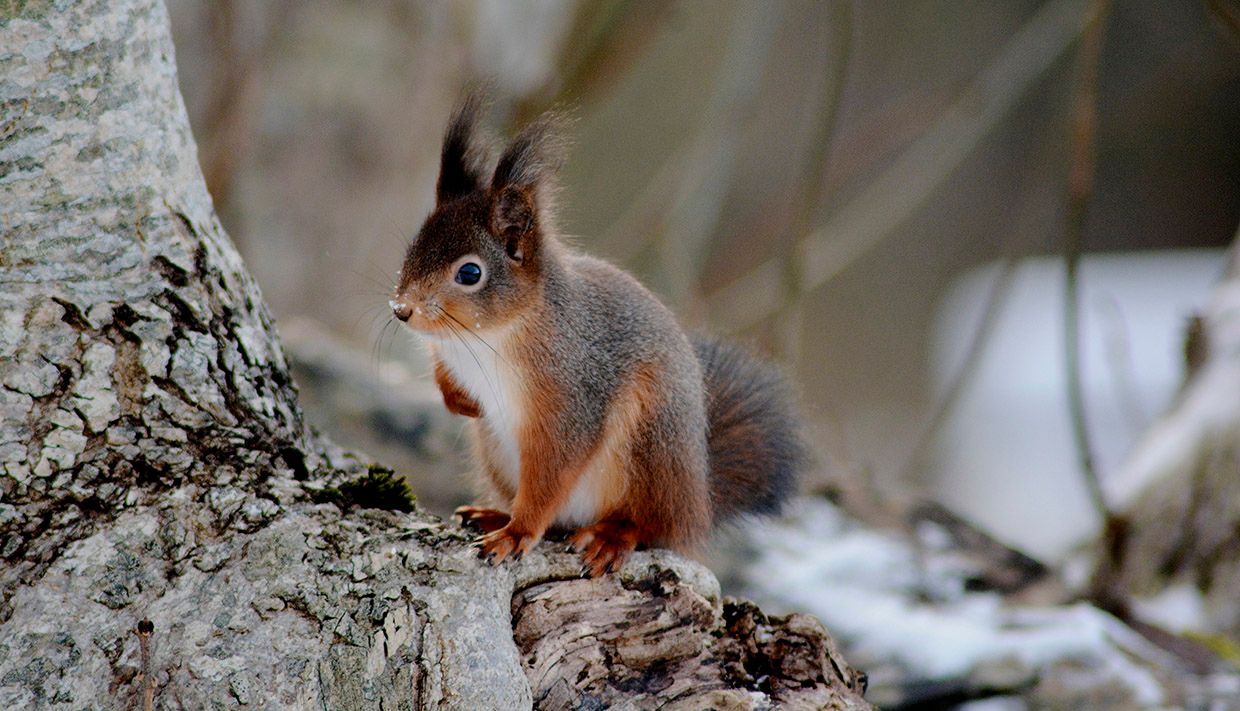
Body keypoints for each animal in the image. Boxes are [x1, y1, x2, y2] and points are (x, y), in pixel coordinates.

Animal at [390, 93, 804, 577]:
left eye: (470, 273)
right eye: (411, 250)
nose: (402, 310)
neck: (487, 335)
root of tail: (697, 501)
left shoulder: (572, 398)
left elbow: (552, 474)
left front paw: (516, 534)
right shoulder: (449, 354)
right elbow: (444, 378)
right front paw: (463, 402)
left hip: (649, 447)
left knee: (644, 524)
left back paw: (608, 536)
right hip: (495, 452)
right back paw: (492, 512)